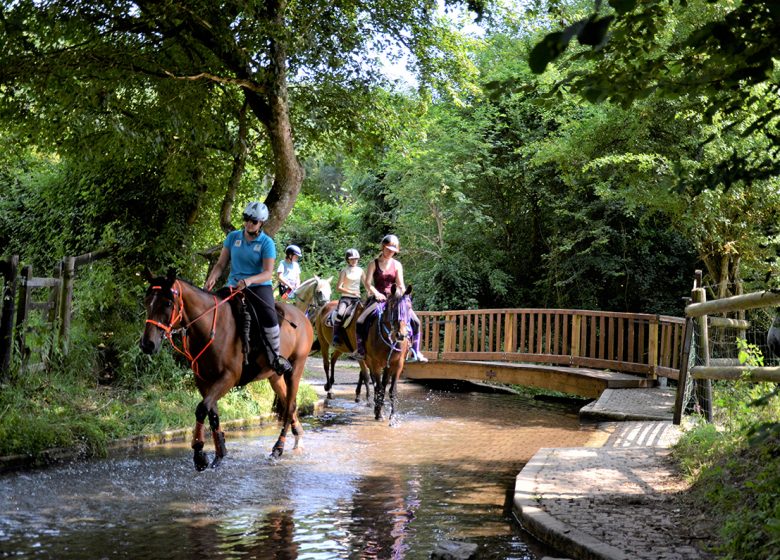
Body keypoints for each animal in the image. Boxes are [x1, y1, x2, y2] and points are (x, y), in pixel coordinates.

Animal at [140, 270, 314, 470]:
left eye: (168, 303)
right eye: (147, 301)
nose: (147, 344)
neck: (209, 327)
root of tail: (303, 316)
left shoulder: (228, 378)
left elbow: (202, 408)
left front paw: (199, 454)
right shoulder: (203, 380)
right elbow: (212, 412)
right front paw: (219, 453)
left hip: (296, 369)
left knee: (290, 405)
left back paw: (278, 448)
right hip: (274, 377)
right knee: (288, 404)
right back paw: (298, 437)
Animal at [364, 286, 414, 422]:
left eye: (409, 307)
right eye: (392, 306)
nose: (401, 335)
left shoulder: (398, 364)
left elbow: (392, 390)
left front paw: (393, 416)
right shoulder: (375, 363)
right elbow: (380, 388)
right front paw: (379, 413)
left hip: (387, 366)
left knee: (384, 383)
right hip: (369, 362)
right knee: (376, 384)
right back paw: (376, 408)